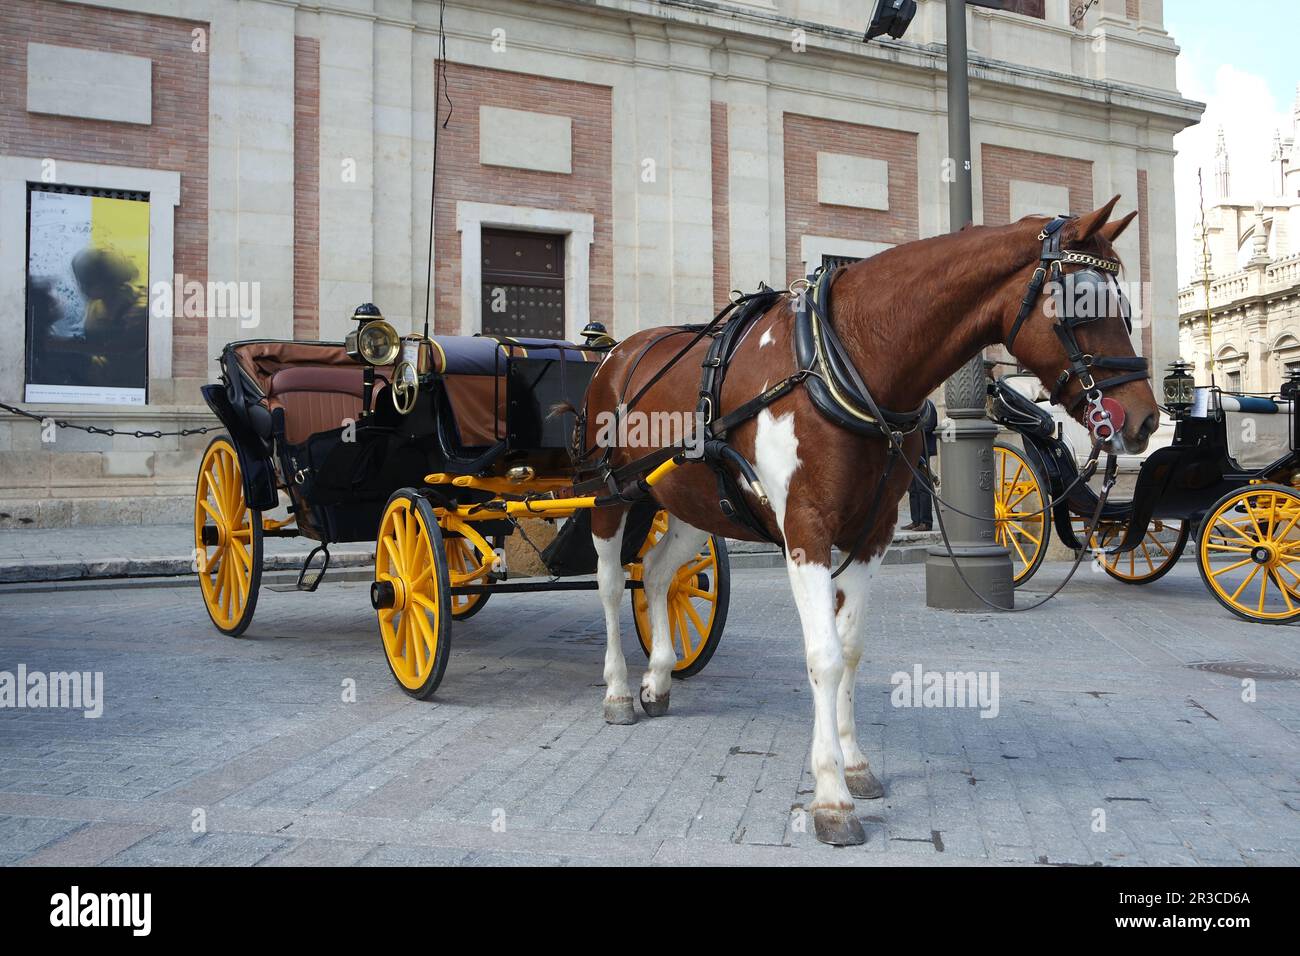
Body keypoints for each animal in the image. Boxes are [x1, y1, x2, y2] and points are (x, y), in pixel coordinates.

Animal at [579, 196, 1159, 842]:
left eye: (1126, 303)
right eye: (1082, 301)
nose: (1144, 419)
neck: (847, 360)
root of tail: (619, 351)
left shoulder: (873, 531)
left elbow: (851, 648)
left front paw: (854, 764)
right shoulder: (805, 530)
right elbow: (824, 656)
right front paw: (830, 794)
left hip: (692, 504)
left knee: (658, 575)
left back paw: (657, 677)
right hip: (609, 496)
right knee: (612, 583)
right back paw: (618, 690)